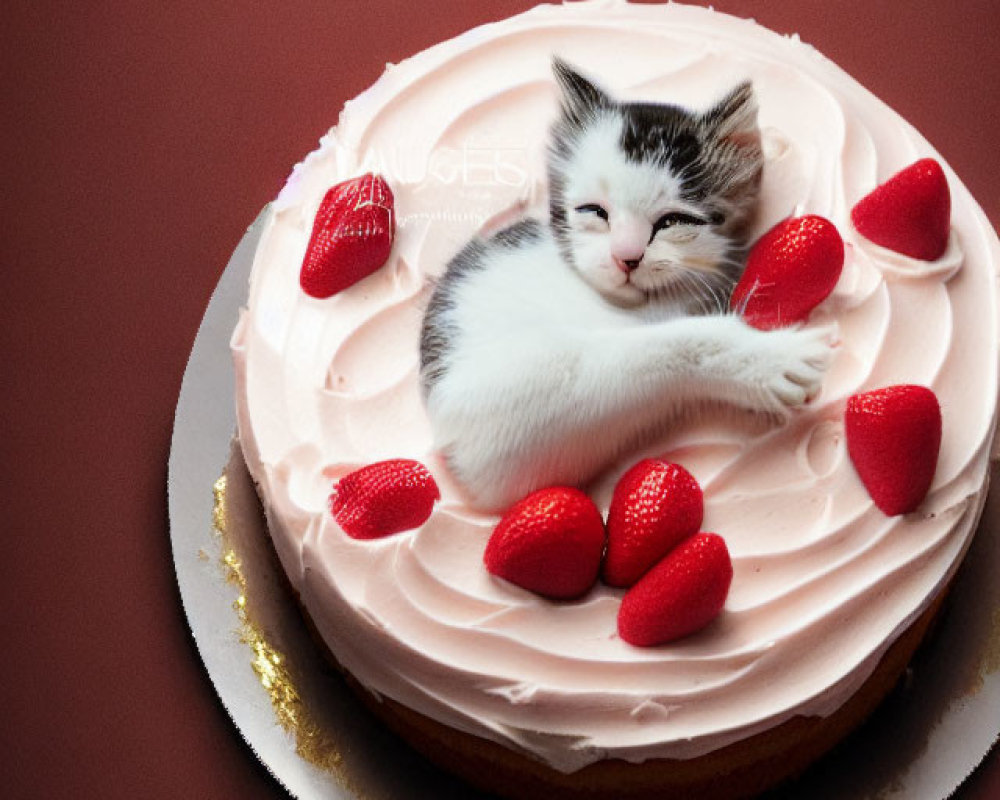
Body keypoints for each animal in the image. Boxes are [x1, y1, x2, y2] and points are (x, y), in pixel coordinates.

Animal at [418, 62, 832, 512]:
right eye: (593, 211)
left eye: (673, 221)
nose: (626, 256)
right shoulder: (479, 414)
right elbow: (645, 347)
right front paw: (766, 360)